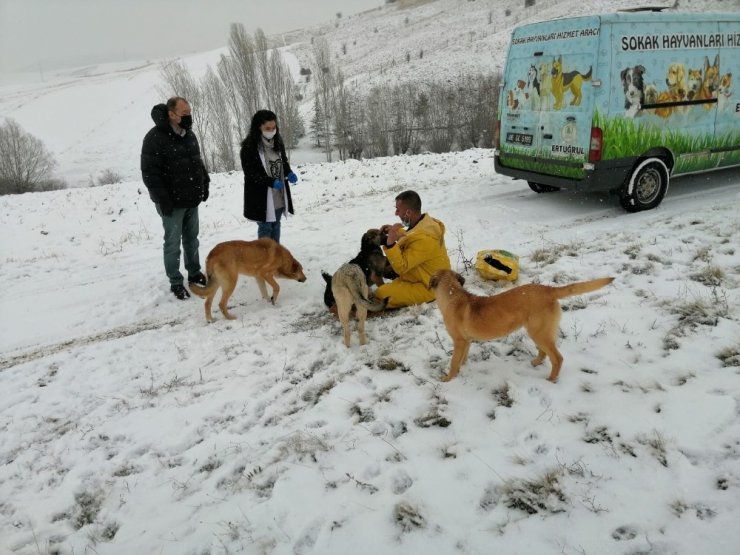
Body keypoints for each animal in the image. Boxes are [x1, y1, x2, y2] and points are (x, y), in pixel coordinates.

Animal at [428, 272, 612, 384]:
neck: (453, 297)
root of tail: (549, 290)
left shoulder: (459, 341)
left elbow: (453, 362)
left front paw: (448, 379)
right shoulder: (466, 341)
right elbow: (462, 358)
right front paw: (463, 368)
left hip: (538, 331)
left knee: (557, 358)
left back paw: (550, 379)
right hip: (538, 331)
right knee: (544, 352)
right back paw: (536, 362)